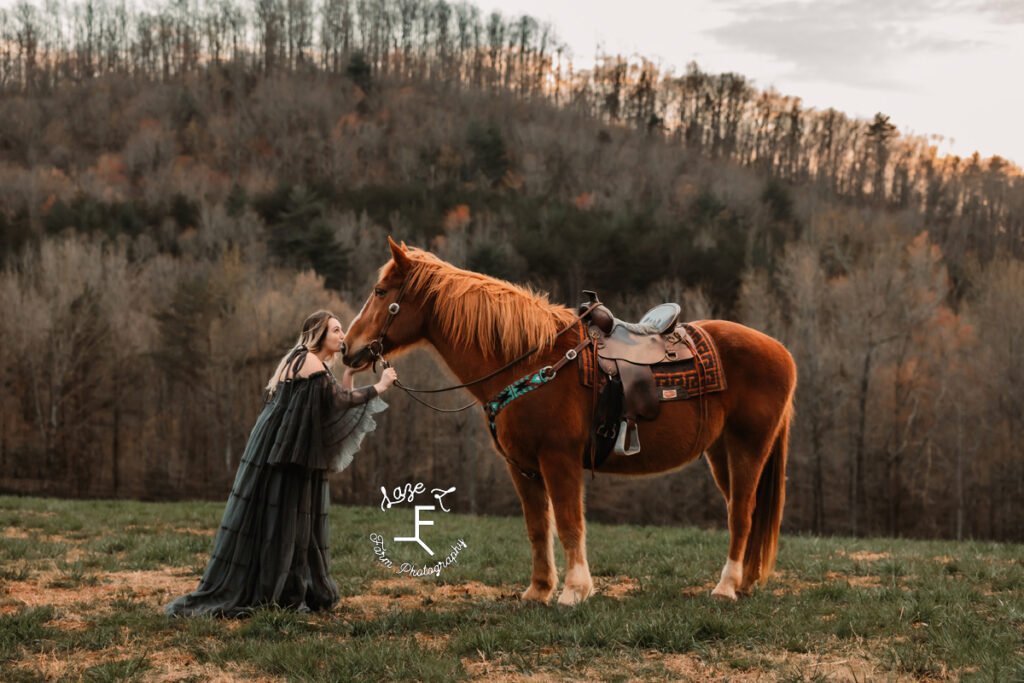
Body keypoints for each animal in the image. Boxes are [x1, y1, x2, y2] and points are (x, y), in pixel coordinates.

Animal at [346, 239, 798, 602]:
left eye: (380, 291)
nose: (349, 348)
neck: (531, 360)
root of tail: (781, 351)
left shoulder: (558, 458)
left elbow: (567, 522)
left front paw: (574, 591)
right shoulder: (522, 467)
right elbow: (537, 527)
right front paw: (538, 591)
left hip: (748, 447)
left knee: (741, 513)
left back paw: (725, 588)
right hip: (720, 452)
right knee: (742, 511)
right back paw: (743, 583)